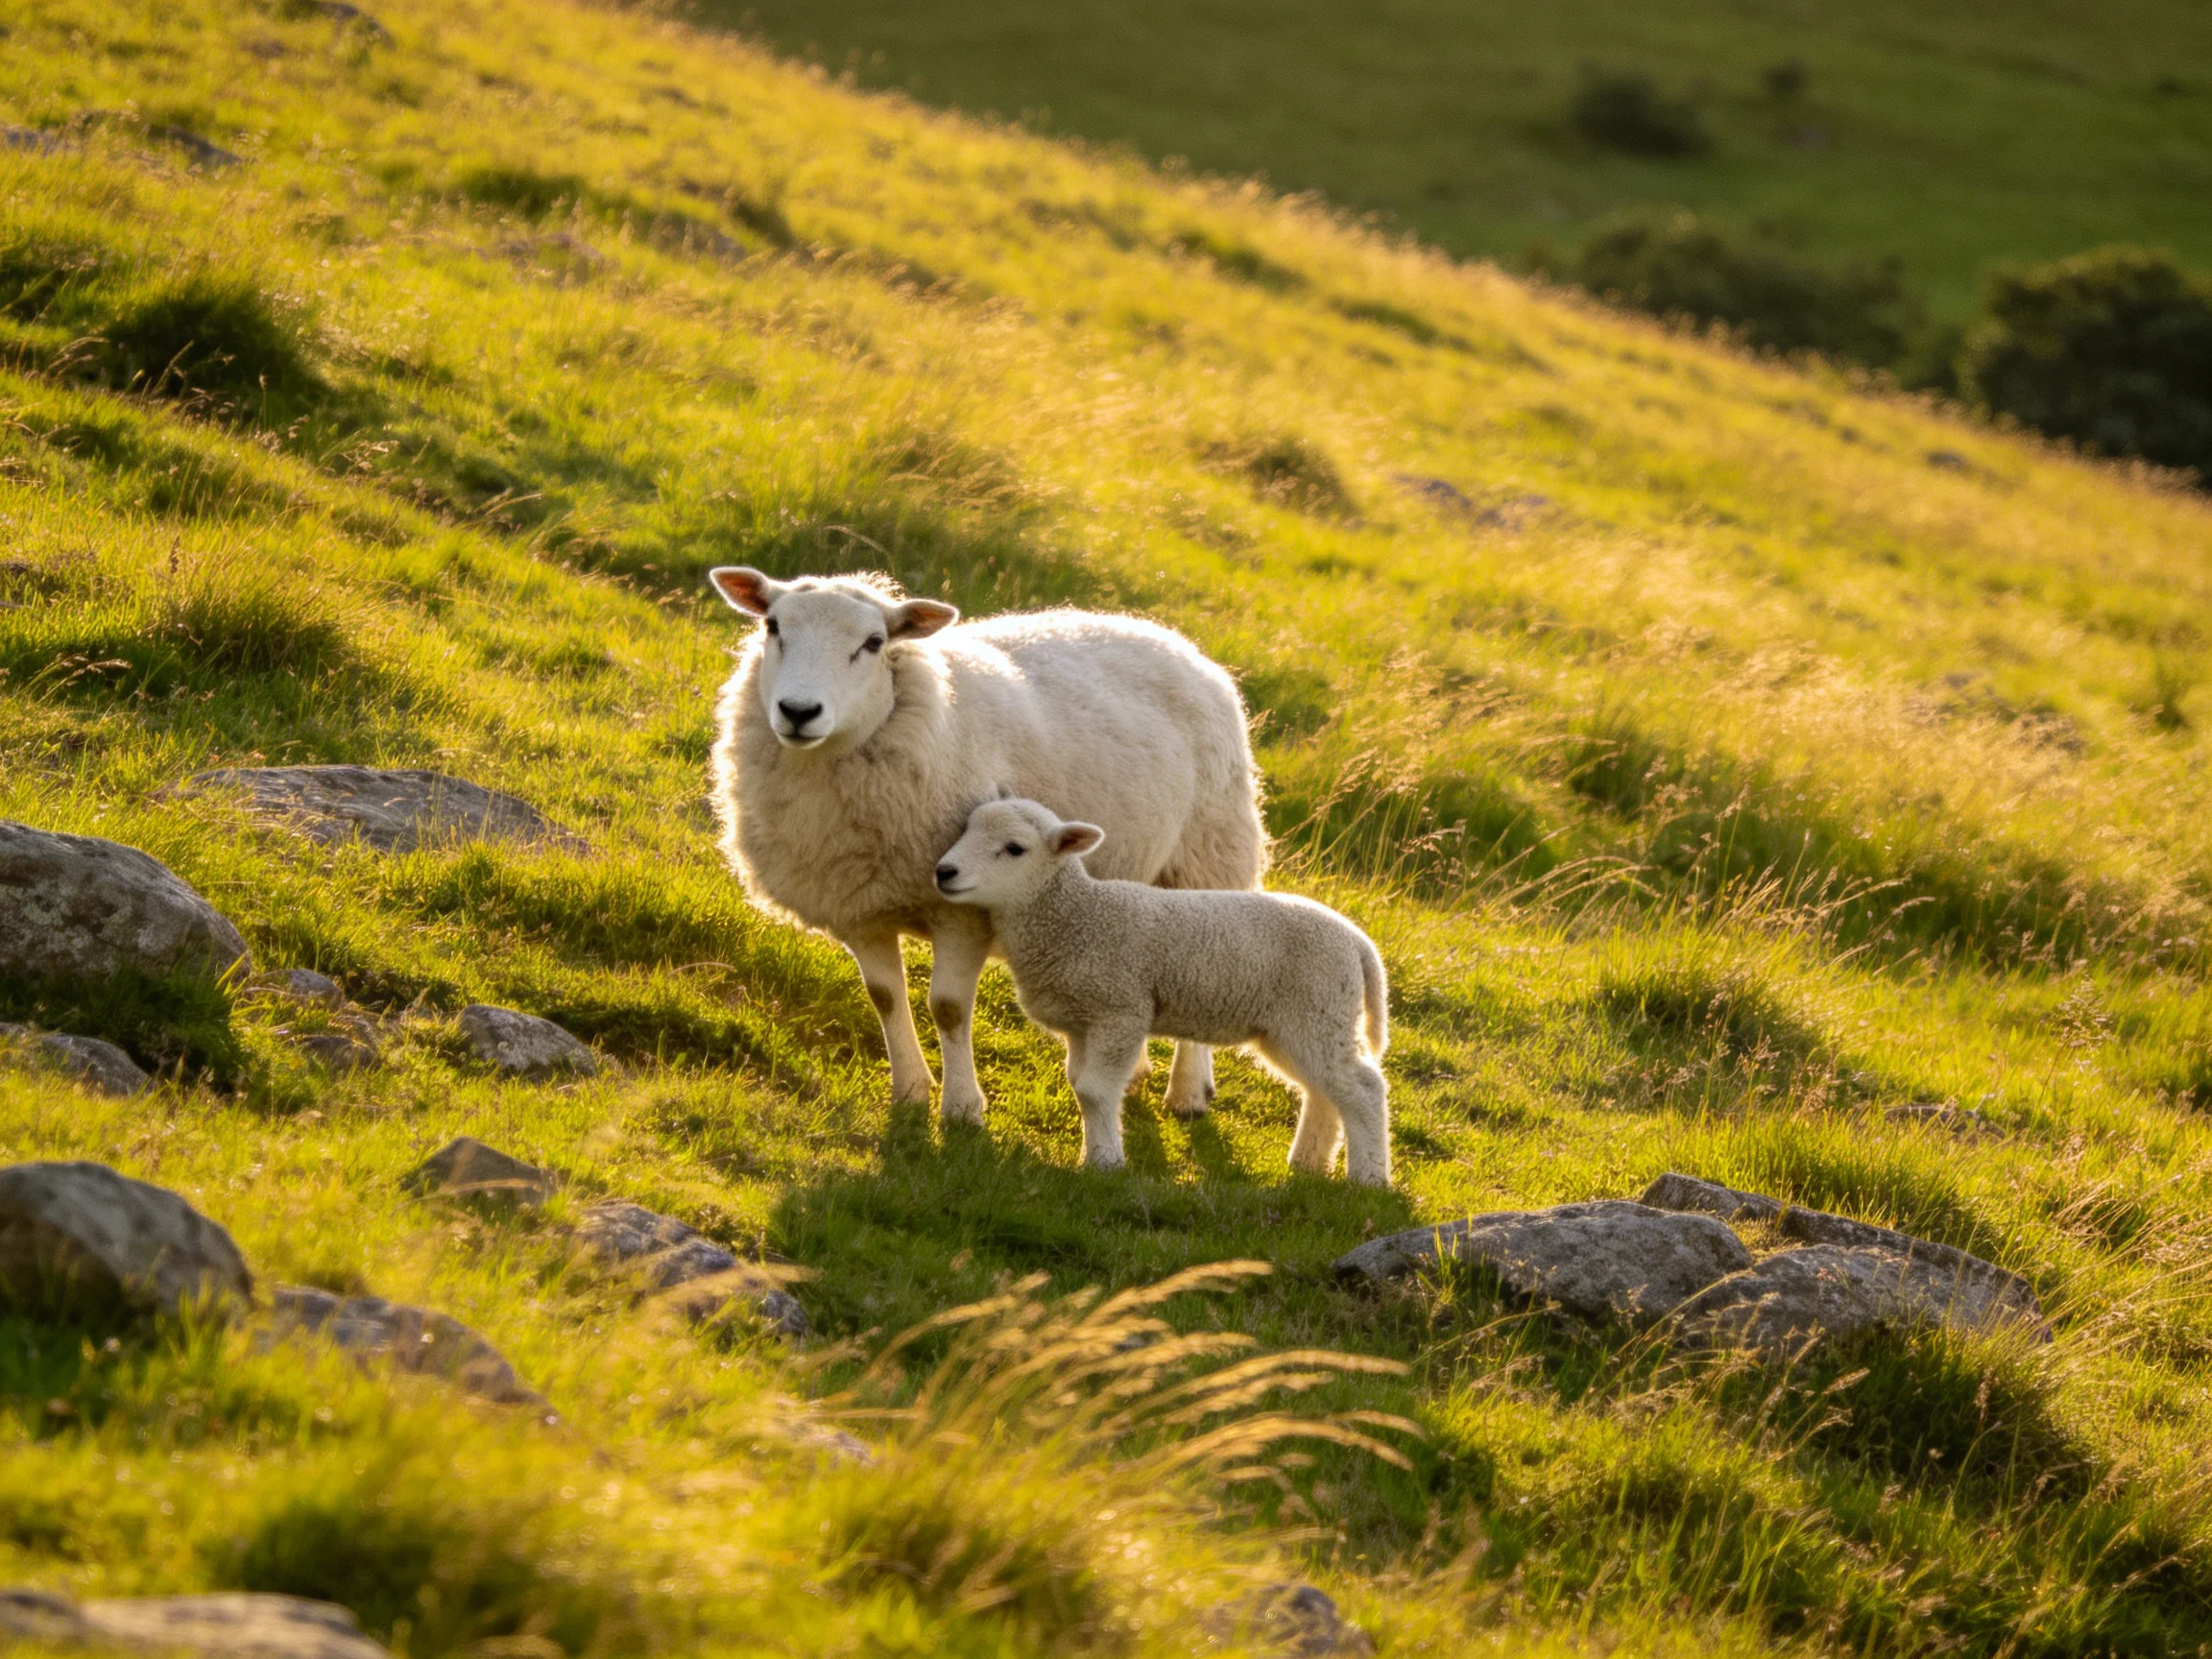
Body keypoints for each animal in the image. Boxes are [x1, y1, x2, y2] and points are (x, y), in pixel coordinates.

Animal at [707, 567, 1266, 1125]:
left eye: (874, 643)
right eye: (773, 626)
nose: (799, 711)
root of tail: (1168, 636)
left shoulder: (962, 912)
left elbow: (948, 1009)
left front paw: (961, 1108)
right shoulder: (859, 908)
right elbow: (884, 997)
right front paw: (910, 1091)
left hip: (1209, 856)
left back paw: (1188, 1091)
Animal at [934, 797, 1391, 1185]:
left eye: (1015, 848)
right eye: (966, 829)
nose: (944, 872)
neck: (1076, 917)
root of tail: (1358, 943)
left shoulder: (1121, 1009)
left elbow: (1094, 1090)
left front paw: (1105, 1163)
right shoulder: (1082, 1022)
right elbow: (1080, 1086)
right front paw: (1093, 1153)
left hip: (1317, 1011)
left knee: (1364, 1088)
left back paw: (1368, 1179)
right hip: (1298, 1025)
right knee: (1325, 1089)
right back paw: (1309, 1164)